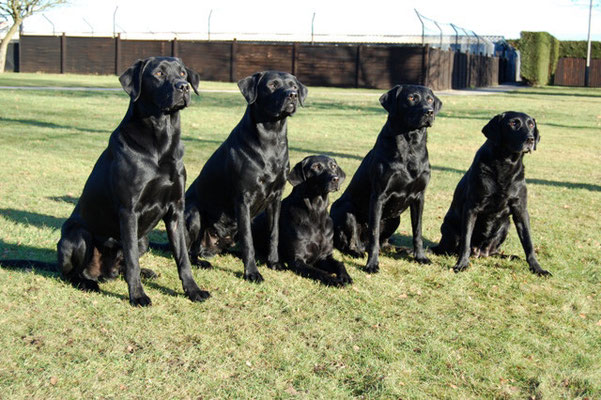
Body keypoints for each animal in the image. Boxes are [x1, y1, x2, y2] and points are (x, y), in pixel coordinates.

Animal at [55, 57, 211, 306]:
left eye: (183, 73)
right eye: (158, 73)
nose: (184, 87)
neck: (161, 142)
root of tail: (103, 273)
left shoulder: (176, 210)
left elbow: (183, 258)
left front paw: (193, 291)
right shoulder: (128, 211)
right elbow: (132, 262)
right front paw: (137, 296)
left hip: (143, 240)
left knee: (122, 267)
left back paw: (145, 272)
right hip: (77, 235)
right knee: (72, 273)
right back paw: (88, 283)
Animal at [183, 71, 308, 282]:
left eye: (293, 86)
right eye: (272, 85)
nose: (292, 95)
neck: (271, 139)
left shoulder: (276, 198)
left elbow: (274, 234)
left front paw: (274, 263)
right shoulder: (243, 199)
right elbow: (248, 241)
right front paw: (252, 273)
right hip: (193, 212)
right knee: (188, 250)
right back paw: (200, 262)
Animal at [248, 155, 352, 286]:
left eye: (333, 166)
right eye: (316, 166)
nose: (335, 179)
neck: (316, 213)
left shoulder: (324, 256)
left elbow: (339, 263)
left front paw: (345, 276)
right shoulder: (297, 260)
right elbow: (319, 272)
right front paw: (333, 280)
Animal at [328, 84, 440, 272]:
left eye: (430, 99)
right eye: (411, 98)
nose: (429, 112)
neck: (411, 146)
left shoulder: (419, 197)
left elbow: (417, 231)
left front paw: (420, 257)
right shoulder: (379, 196)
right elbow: (374, 235)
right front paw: (372, 264)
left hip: (395, 218)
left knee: (384, 242)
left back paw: (401, 249)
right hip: (345, 209)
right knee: (351, 243)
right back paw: (357, 252)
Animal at [428, 111, 552, 276]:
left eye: (531, 124)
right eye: (513, 123)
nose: (530, 139)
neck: (505, 163)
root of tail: (479, 252)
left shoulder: (520, 209)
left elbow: (528, 243)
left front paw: (537, 268)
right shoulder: (471, 208)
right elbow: (466, 241)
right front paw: (461, 264)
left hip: (505, 226)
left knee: (495, 252)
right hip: (450, 228)